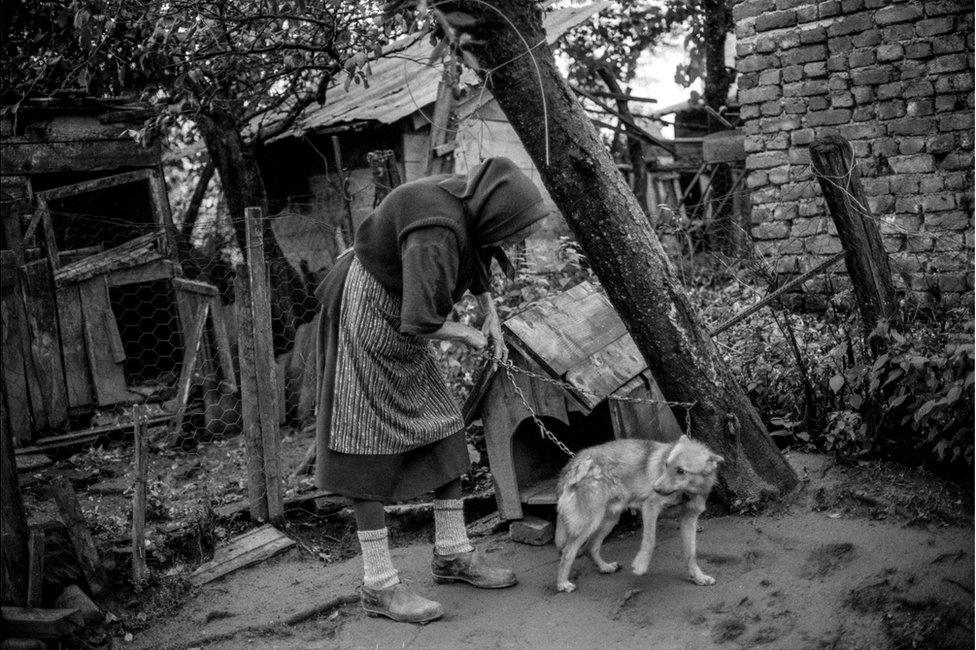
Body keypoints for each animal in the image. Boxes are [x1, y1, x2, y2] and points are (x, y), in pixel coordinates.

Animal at [552, 432, 720, 588]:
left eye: (681, 471)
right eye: (666, 465)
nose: (655, 488)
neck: (685, 493)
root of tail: (574, 463)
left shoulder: (689, 520)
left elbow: (691, 554)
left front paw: (698, 577)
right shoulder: (650, 508)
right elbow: (650, 541)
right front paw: (641, 565)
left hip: (609, 520)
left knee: (590, 548)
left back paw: (605, 567)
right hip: (589, 523)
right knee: (568, 552)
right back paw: (562, 584)